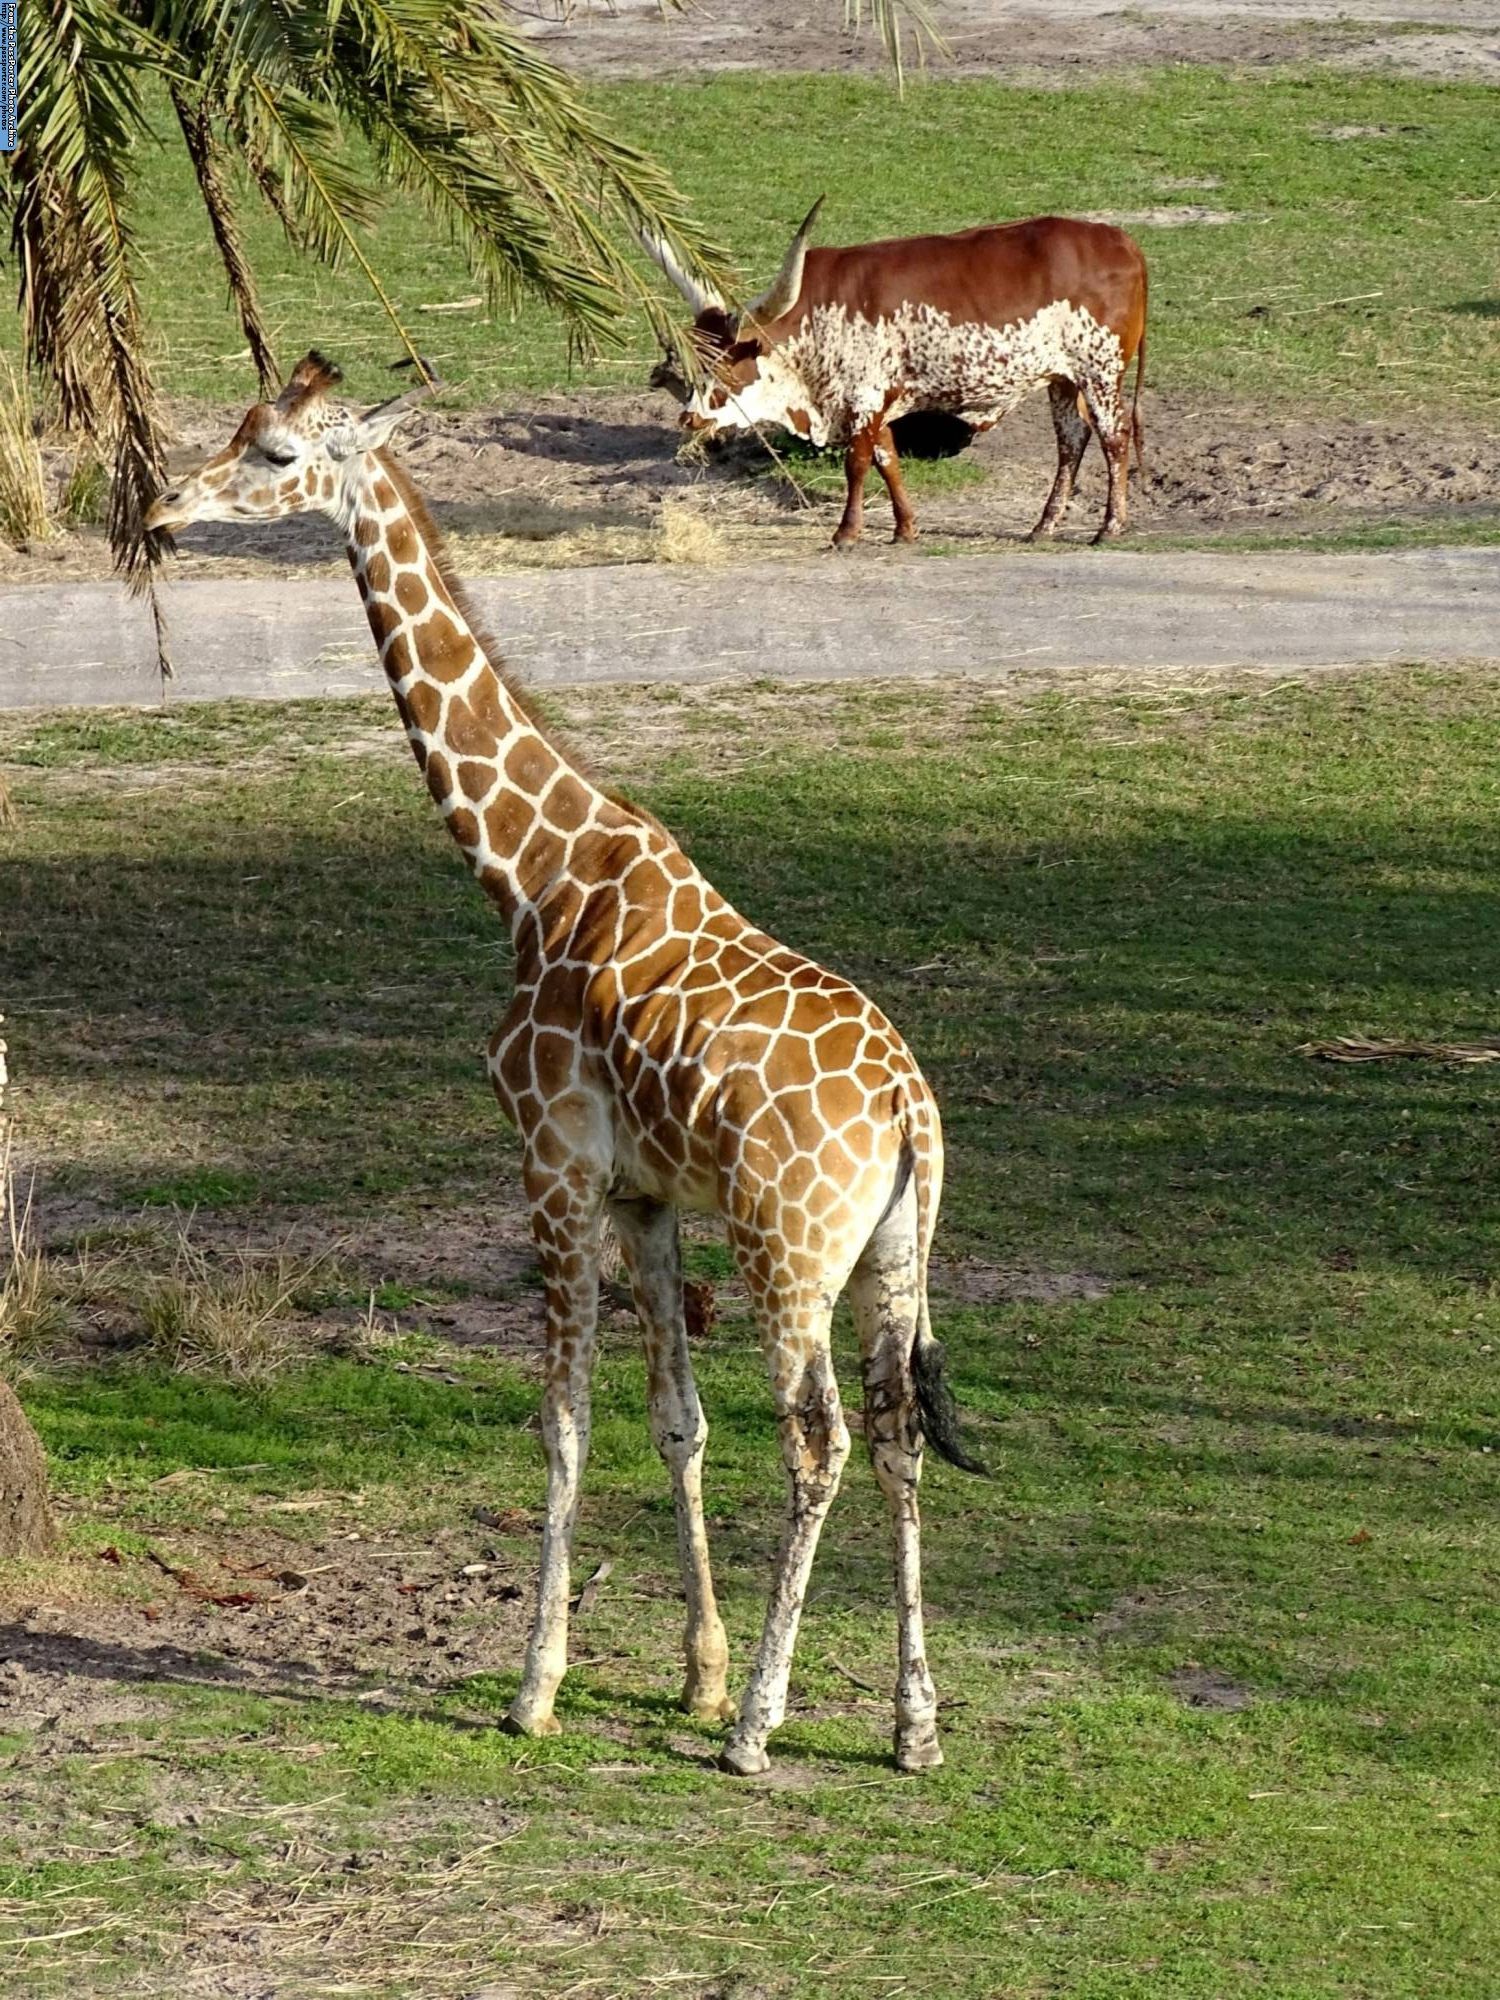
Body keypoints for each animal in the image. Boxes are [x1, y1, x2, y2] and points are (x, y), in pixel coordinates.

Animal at [147, 352, 980, 1776]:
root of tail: (907, 1105)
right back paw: (911, 1723)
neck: (528, 873)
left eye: (274, 455)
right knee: (895, 1429)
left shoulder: (550, 1159)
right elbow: (675, 1420)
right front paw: (695, 1670)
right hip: (893, 1252)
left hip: (789, 1251)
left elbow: (562, 1417)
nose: (157, 507)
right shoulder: (642, 1188)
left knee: (817, 1440)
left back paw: (761, 1729)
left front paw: (539, 1684)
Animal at [644, 206, 1152, 548]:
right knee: (1072, 441)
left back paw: (1110, 526)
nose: (688, 419)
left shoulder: (863, 397)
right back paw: (1043, 526)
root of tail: (1120, 240)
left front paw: (846, 533)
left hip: (1100, 369)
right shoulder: (876, 401)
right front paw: (906, 528)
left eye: (722, 365)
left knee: (1113, 437)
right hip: (1063, 378)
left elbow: (857, 463)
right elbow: (888, 459)